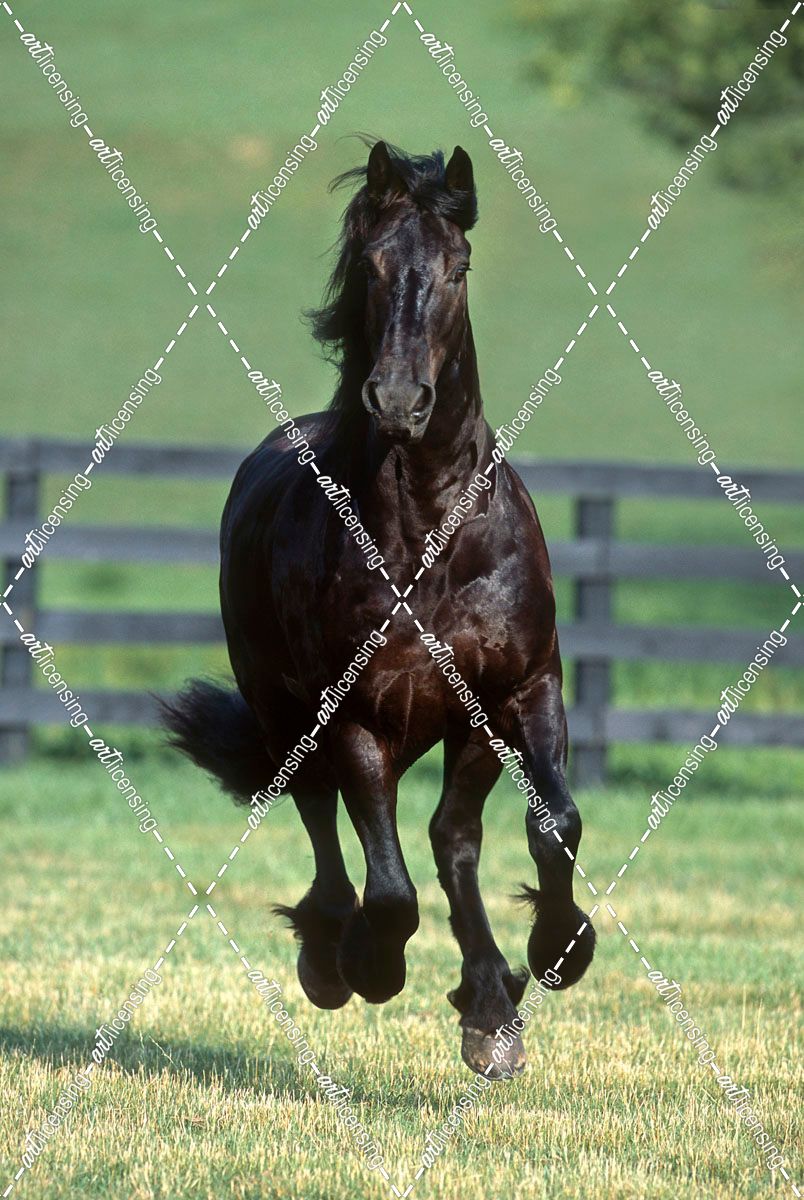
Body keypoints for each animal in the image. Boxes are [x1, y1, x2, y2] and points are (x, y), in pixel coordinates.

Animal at [162, 139, 595, 1077]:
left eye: (459, 267)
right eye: (371, 264)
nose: (398, 401)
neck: (429, 534)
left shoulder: (520, 689)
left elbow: (551, 824)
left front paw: (556, 953)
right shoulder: (357, 713)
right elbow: (390, 890)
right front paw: (370, 962)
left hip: (459, 727)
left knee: (450, 839)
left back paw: (491, 1004)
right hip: (289, 711)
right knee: (323, 816)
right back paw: (333, 954)